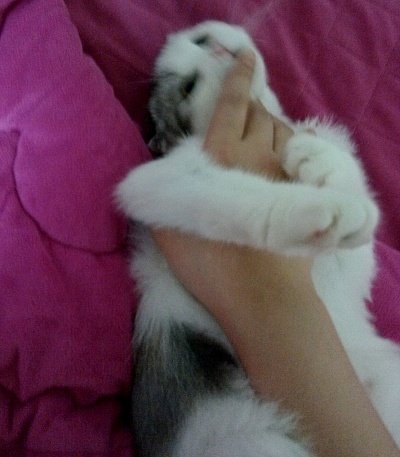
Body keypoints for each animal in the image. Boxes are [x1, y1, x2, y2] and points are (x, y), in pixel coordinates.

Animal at [116, 21, 400, 457]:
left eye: (201, 41)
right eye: (188, 87)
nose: (220, 51)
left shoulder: (353, 264)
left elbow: (347, 176)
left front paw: (313, 156)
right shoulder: (156, 180)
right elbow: (247, 197)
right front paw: (322, 209)